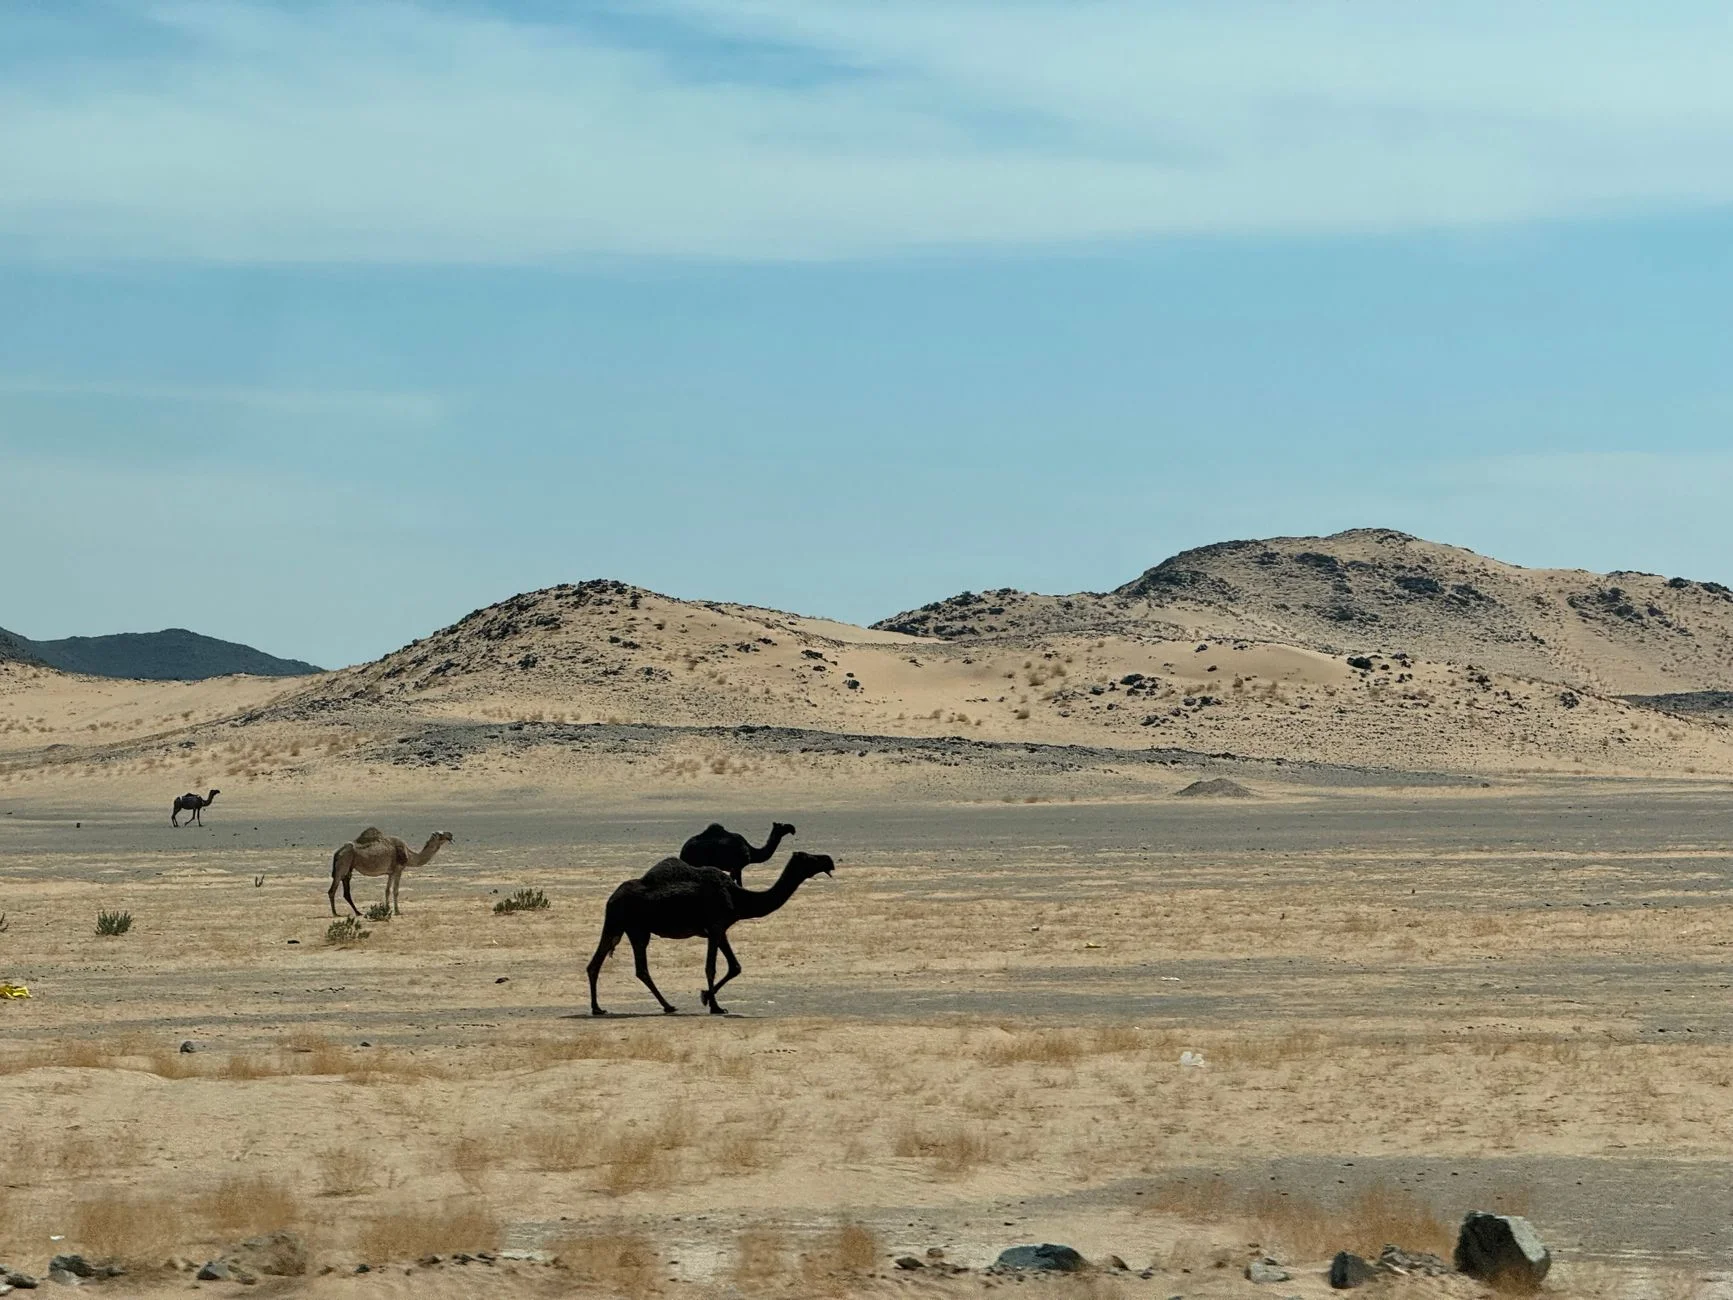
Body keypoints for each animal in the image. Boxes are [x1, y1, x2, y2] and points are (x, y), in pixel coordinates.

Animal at [586, 851, 834, 1017]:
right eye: (810, 858)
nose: (829, 860)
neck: (739, 898)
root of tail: (612, 898)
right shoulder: (715, 927)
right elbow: (711, 968)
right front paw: (714, 1005)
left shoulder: (720, 929)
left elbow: (735, 966)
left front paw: (706, 996)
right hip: (634, 928)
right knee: (639, 968)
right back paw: (667, 1005)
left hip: (621, 926)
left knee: (597, 963)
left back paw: (599, 1008)